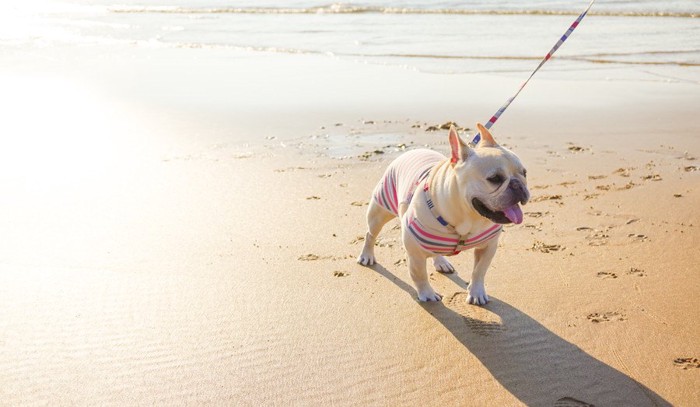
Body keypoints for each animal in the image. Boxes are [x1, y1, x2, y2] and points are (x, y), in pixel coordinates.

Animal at [358, 124, 528, 306]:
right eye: (495, 178)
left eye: (524, 173)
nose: (518, 185)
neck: (468, 218)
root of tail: (414, 151)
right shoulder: (415, 254)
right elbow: (419, 275)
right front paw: (427, 294)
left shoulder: (488, 247)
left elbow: (479, 271)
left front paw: (476, 292)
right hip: (379, 212)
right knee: (370, 234)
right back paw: (366, 255)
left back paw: (441, 262)